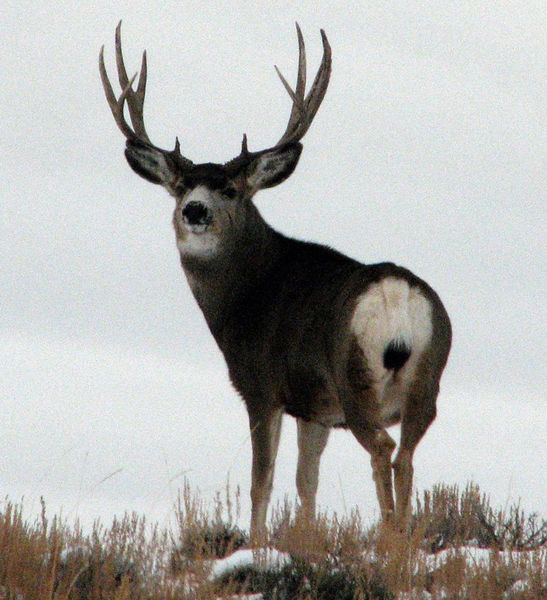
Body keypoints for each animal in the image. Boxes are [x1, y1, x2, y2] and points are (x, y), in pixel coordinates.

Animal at [100, 22, 452, 540]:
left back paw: (389, 539)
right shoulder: (315, 407)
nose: (194, 211)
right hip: (425, 381)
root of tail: (396, 295)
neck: (247, 294)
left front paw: (259, 545)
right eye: (181, 187)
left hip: (354, 378)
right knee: (405, 455)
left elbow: (261, 482)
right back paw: (401, 541)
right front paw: (305, 539)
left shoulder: (261, 387)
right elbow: (307, 482)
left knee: (383, 449)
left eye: (229, 189)